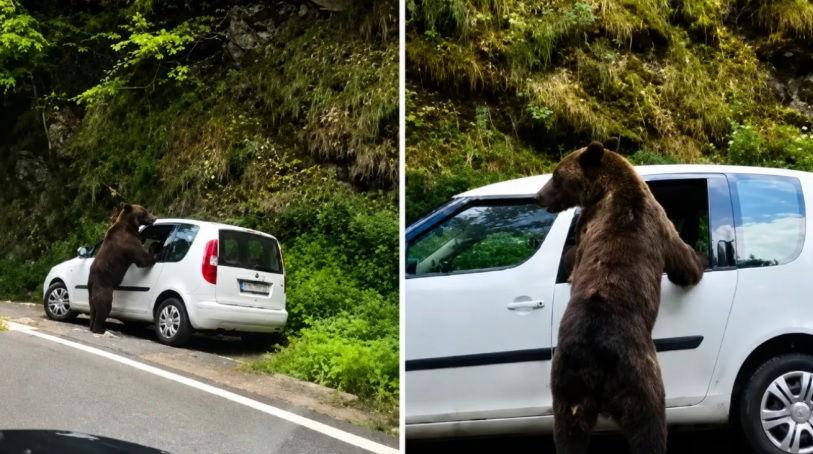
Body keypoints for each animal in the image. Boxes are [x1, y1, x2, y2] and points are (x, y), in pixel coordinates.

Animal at [87, 204, 158, 334]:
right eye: (144, 211)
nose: (155, 217)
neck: (129, 226)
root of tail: (92, 281)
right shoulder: (128, 243)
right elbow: (142, 259)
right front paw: (154, 250)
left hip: (90, 292)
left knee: (93, 307)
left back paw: (92, 325)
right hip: (104, 286)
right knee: (104, 305)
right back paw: (101, 329)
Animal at [535, 139, 704, 454]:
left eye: (556, 175)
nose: (537, 196)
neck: (609, 190)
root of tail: (594, 357)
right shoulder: (654, 223)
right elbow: (682, 258)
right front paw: (700, 259)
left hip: (567, 385)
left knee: (568, 432)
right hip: (639, 374)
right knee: (650, 424)